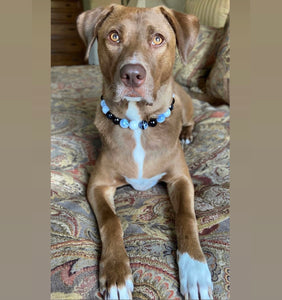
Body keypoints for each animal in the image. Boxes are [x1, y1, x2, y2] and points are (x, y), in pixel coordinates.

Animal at [76, 4, 213, 300]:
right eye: (114, 36)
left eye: (158, 39)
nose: (132, 74)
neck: (138, 123)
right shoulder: (98, 185)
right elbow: (111, 220)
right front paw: (116, 273)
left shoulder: (181, 179)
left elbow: (186, 217)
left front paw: (195, 270)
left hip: (185, 102)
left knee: (189, 119)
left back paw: (187, 133)